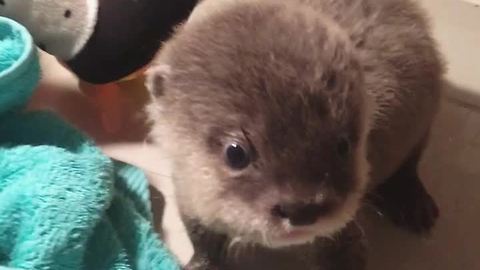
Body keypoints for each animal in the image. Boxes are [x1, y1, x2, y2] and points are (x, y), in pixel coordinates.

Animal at [145, 0, 442, 266]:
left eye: (342, 145)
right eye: (236, 153)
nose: (301, 210)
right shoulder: (186, 188)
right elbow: (200, 234)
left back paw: (412, 201)